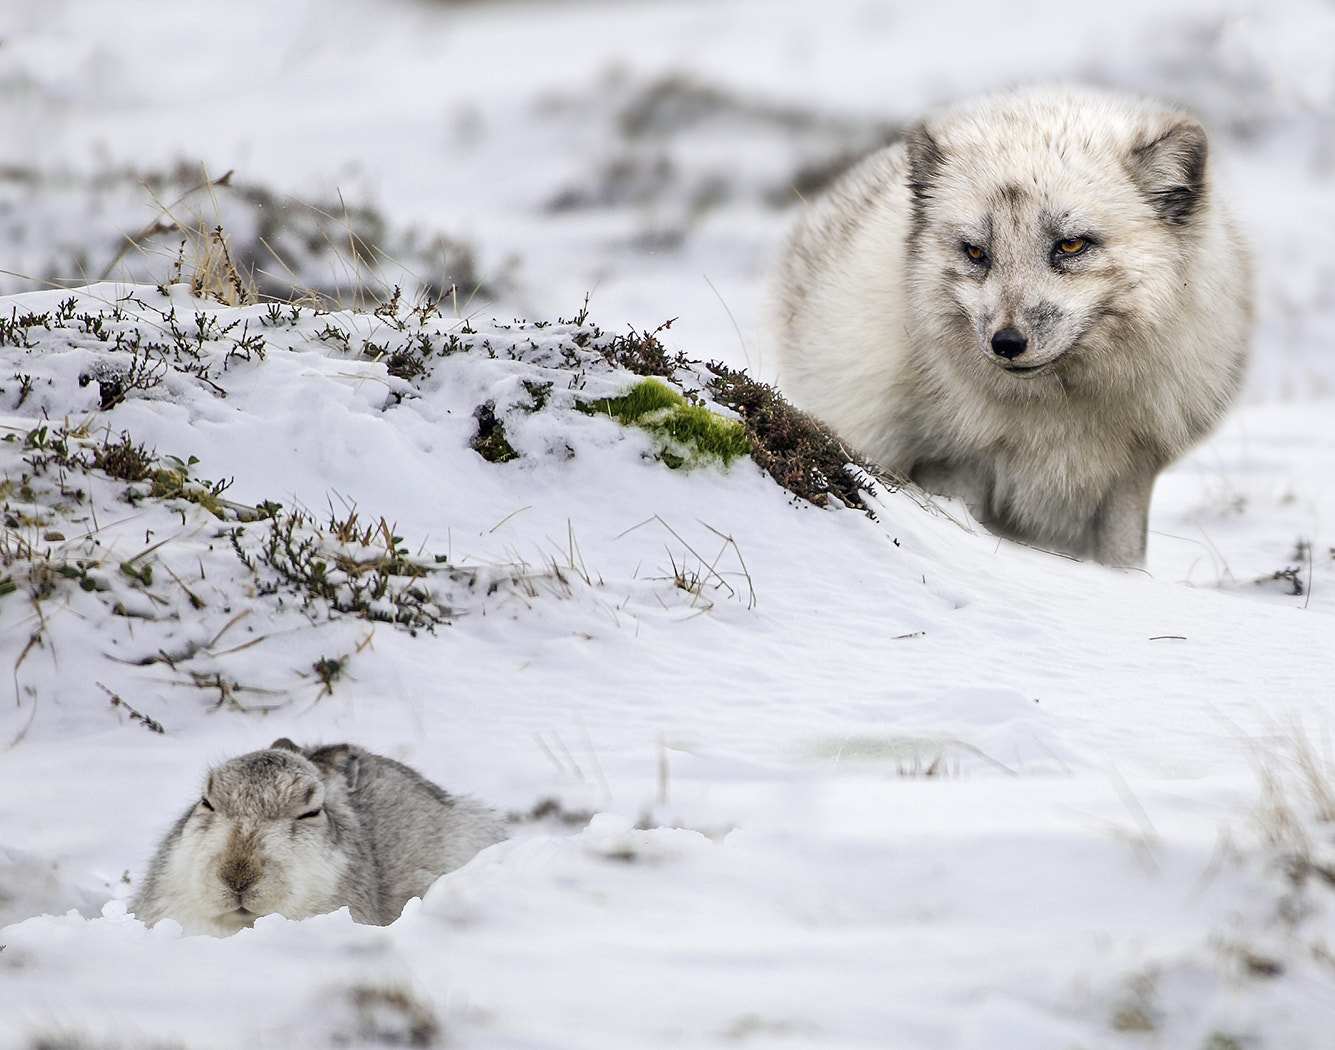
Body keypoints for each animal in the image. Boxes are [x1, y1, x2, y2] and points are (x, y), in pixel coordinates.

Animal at [774, 86, 1249, 565]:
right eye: (975, 252)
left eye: (1071, 245)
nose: (1005, 343)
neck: (1060, 416)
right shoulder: (954, 463)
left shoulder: (1130, 477)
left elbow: (1124, 562)